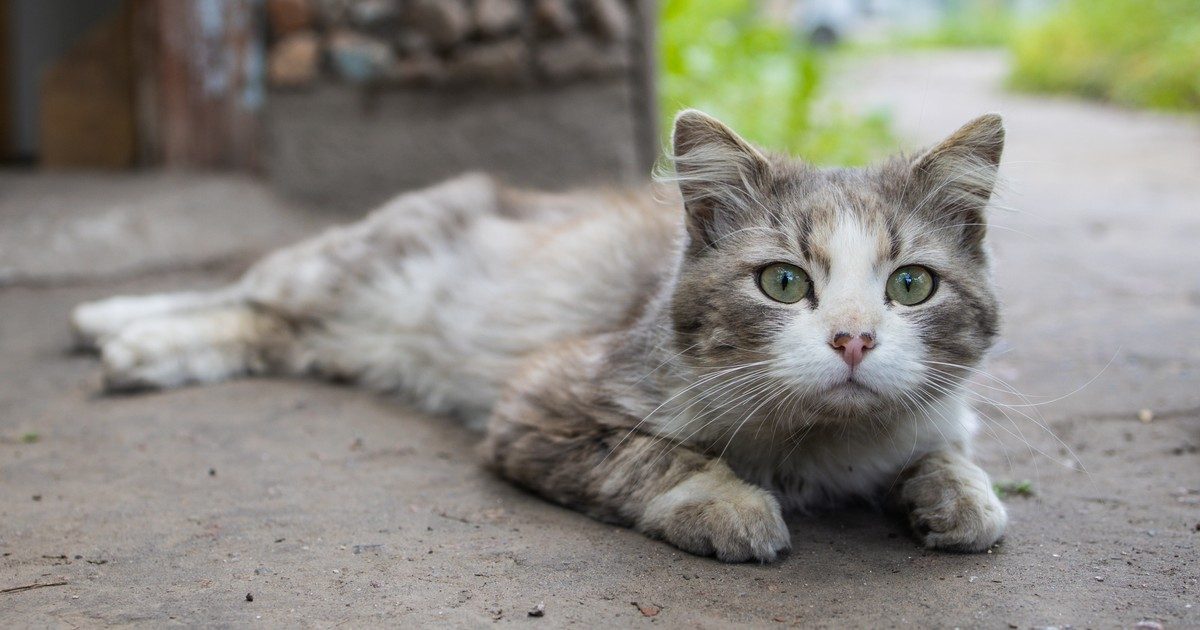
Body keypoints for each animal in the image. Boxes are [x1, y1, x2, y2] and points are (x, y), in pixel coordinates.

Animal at [72, 108, 1012, 559]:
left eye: (911, 285)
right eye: (783, 282)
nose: (853, 341)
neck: (823, 444)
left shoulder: (943, 416)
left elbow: (952, 462)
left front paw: (960, 501)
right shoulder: (545, 401)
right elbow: (659, 458)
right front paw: (732, 505)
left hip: (327, 334)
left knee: (260, 327)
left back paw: (137, 349)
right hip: (344, 268)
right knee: (249, 286)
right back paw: (112, 325)